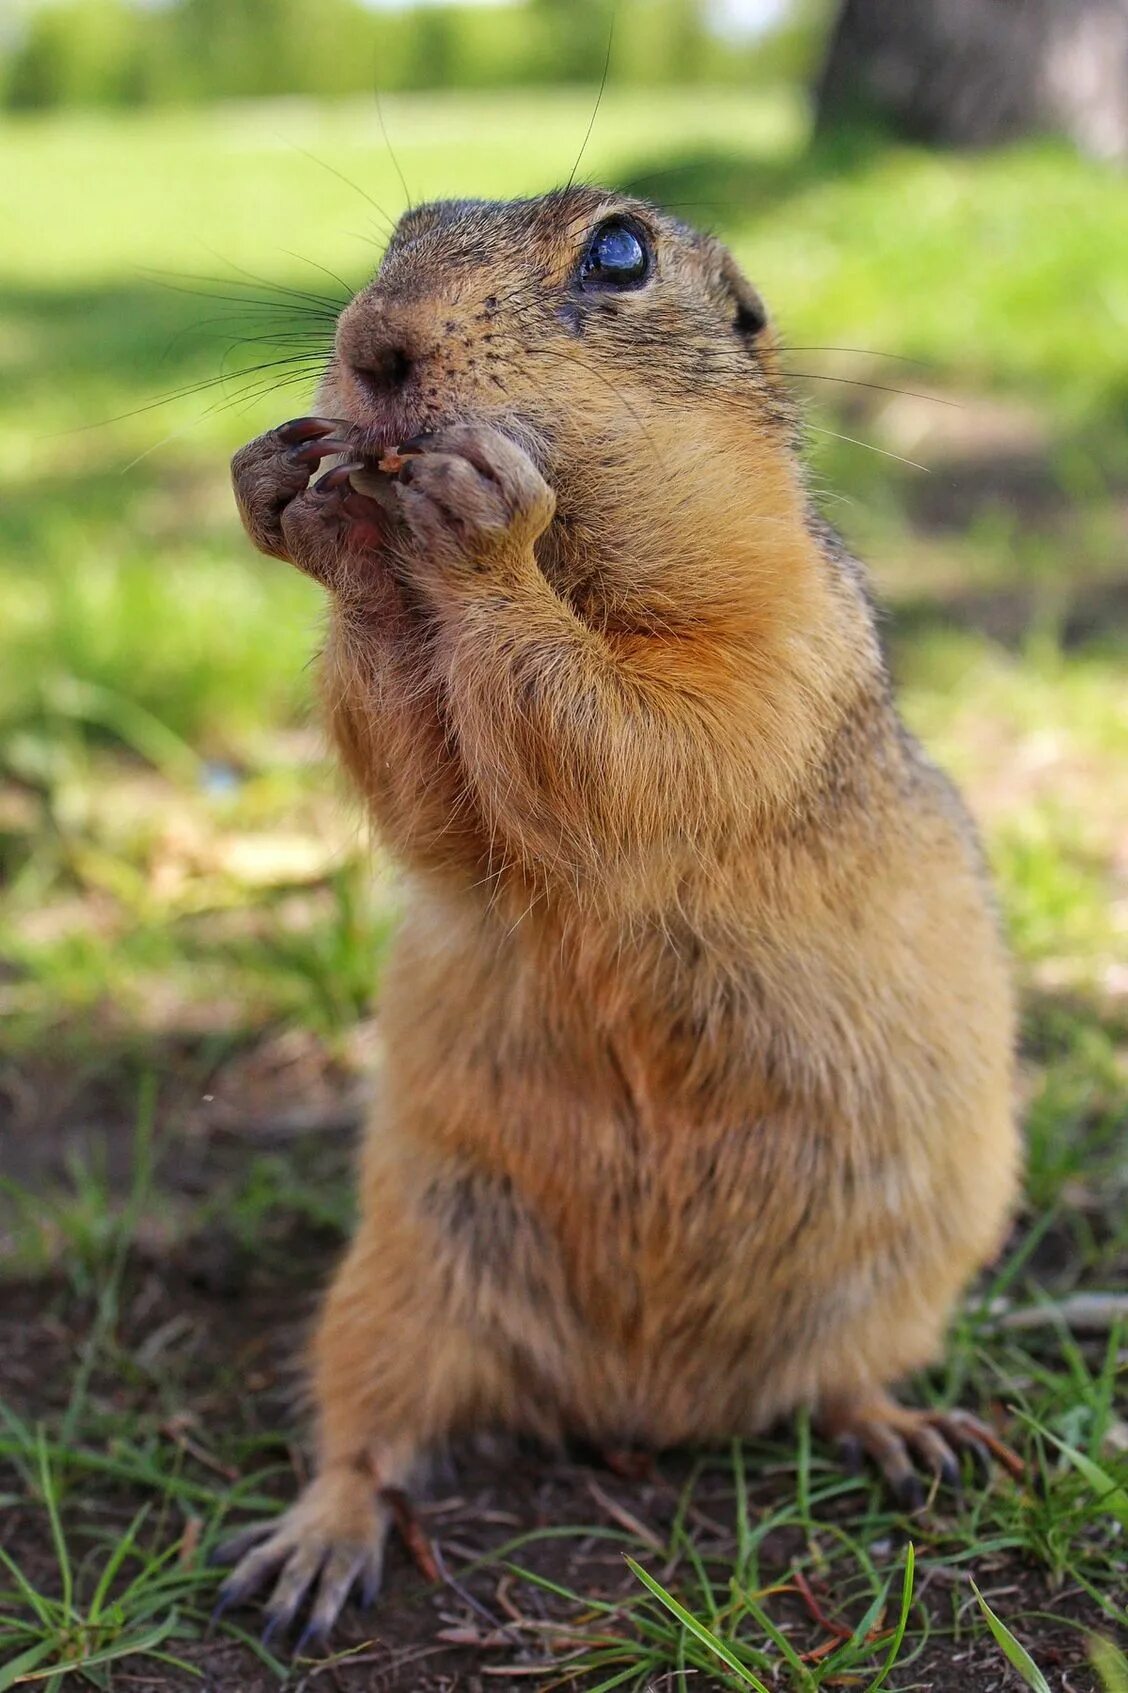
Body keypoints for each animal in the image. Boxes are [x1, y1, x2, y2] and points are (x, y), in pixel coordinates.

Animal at [216, 188, 1016, 1652]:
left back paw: (913, 1433)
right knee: (370, 1435)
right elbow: (432, 790)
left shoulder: (771, 629)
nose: (372, 347)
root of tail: (648, 1407)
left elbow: (649, 732)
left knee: (838, 1382)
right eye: (400, 228)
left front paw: (472, 523)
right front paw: (312, 508)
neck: (573, 556)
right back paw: (310, 1552)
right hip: (395, 1286)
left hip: (907, 1273)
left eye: (622, 250)